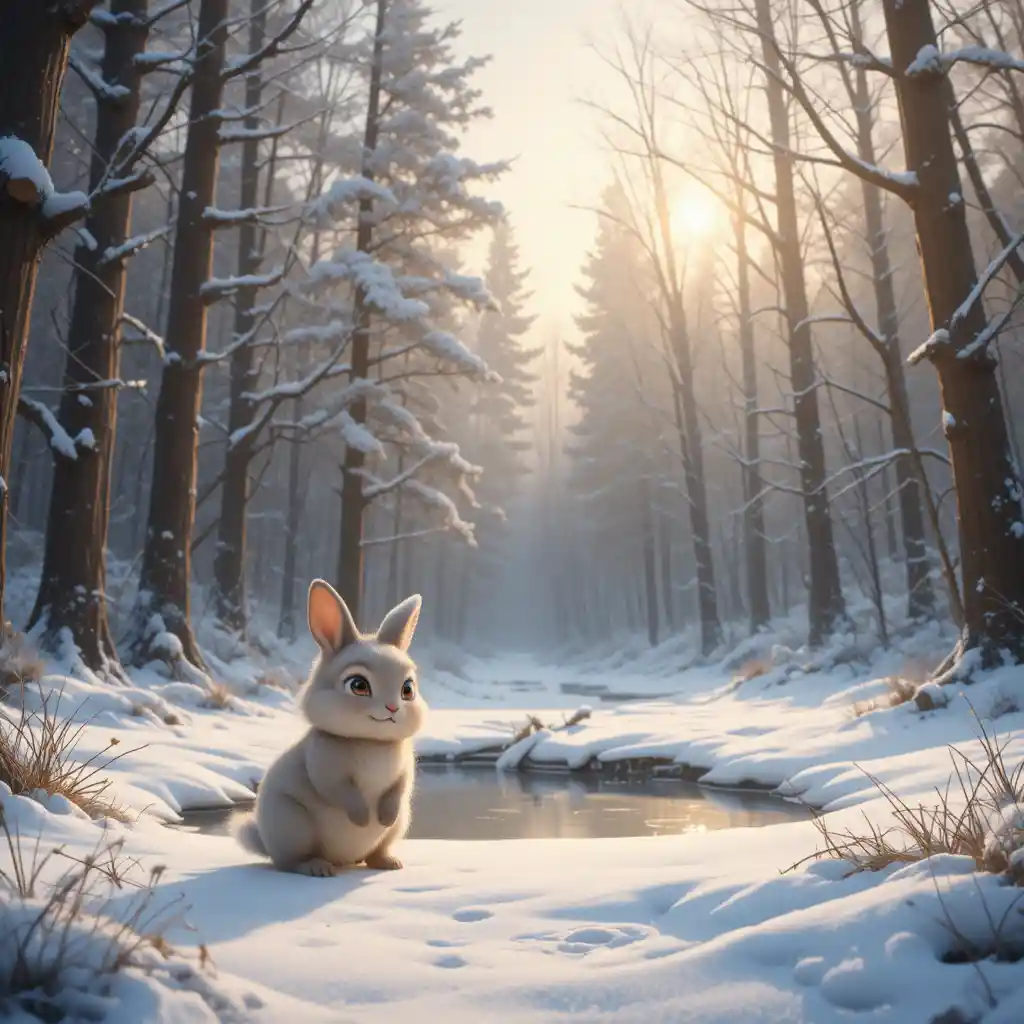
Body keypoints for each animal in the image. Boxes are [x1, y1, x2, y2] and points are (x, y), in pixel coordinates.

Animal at [233, 579, 426, 876]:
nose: (393, 708)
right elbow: (338, 790)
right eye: (359, 685)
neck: (370, 741)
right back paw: (317, 867)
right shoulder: (325, 767)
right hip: (292, 824)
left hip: (399, 825)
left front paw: (383, 817)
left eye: (408, 689)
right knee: (289, 862)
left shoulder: (404, 770)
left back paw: (388, 862)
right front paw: (362, 818)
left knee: (376, 851)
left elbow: (400, 788)